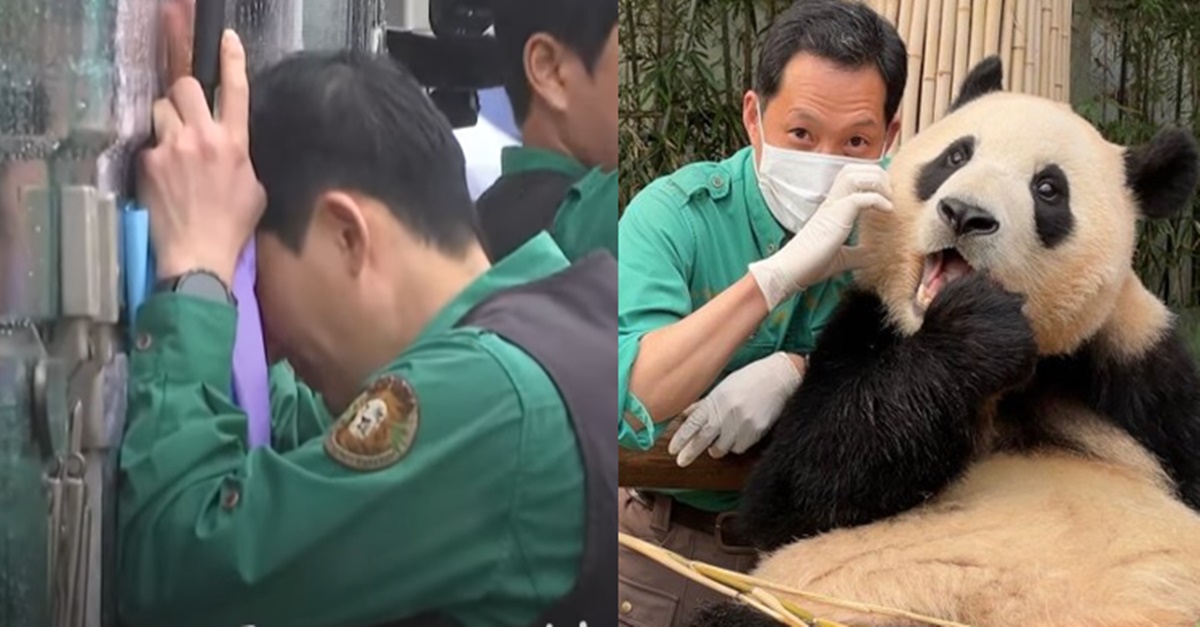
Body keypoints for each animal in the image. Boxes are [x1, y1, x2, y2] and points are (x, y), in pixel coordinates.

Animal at [691, 56, 1200, 619]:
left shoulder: (1139, 369)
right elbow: (791, 491)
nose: (964, 214)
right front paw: (976, 329)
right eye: (956, 155)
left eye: (1048, 189)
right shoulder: (866, 326)